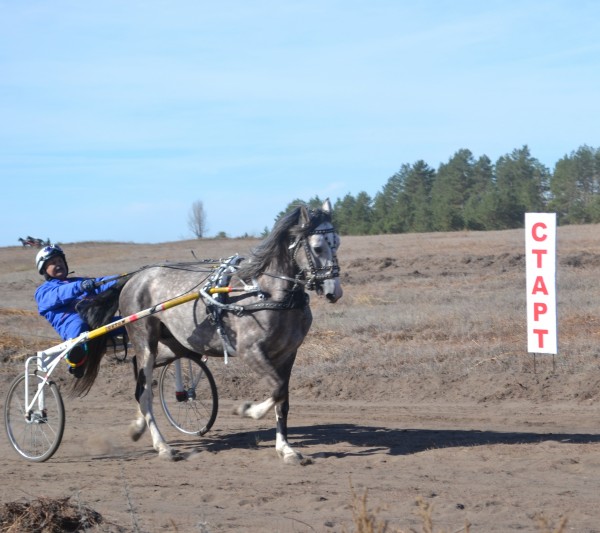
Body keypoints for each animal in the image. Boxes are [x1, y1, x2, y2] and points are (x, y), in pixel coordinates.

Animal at [77, 198, 342, 462]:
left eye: (336, 242)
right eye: (318, 247)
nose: (334, 291)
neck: (268, 293)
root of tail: (134, 278)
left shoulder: (288, 354)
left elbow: (282, 398)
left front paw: (286, 449)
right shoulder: (249, 350)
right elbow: (276, 389)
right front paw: (248, 410)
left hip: (174, 345)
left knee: (139, 377)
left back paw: (138, 426)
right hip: (145, 341)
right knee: (145, 392)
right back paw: (163, 446)